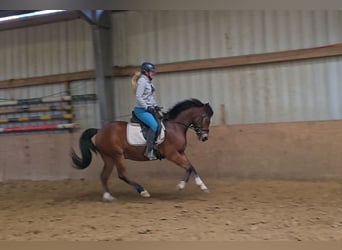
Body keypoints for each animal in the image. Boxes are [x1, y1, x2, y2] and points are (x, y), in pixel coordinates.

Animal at [70, 98, 212, 201]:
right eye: (206, 118)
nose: (204, 137)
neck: (175, 127)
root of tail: (100, 131)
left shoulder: (180, 153)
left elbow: (191, 166)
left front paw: (202, 186)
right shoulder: (172, 154)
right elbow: (188, 167)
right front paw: (180, 186)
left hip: (109, 157)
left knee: (104, 175)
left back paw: (108, 196)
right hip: (117, 155)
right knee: (122, 174)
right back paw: (143, 191)